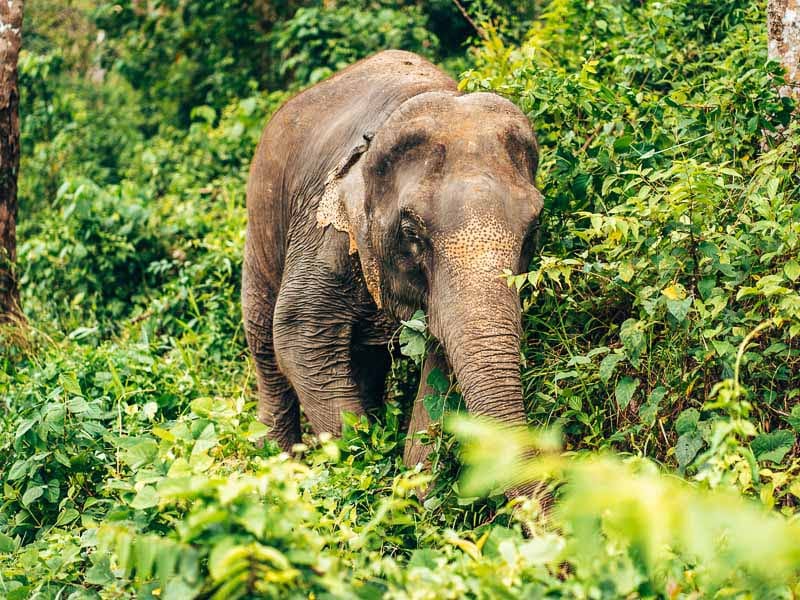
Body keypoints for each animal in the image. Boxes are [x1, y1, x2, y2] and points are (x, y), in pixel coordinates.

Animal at [242, 50, 545, 501]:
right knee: (265, 338)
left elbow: (441, 361)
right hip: (261, 223)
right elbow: (299, 336)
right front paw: (361, 473)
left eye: (533, 230)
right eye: (412, 232)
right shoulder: (323, 233)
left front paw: (415, 496)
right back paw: (275, 467)